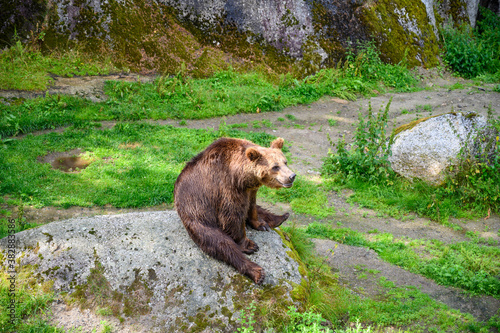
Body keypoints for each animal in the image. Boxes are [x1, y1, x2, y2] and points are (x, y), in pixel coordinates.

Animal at [174, 136, 294, 284]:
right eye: (275, 166)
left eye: (285, 162)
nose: (292, 176)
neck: (241, 177)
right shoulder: (227, 187)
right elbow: (232, 216)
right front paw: (248, 244)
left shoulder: (250, 189)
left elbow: (252, 205)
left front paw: (260, 223)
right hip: (198, 216)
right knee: (220, 244)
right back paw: (257, 272)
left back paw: (280, 218)